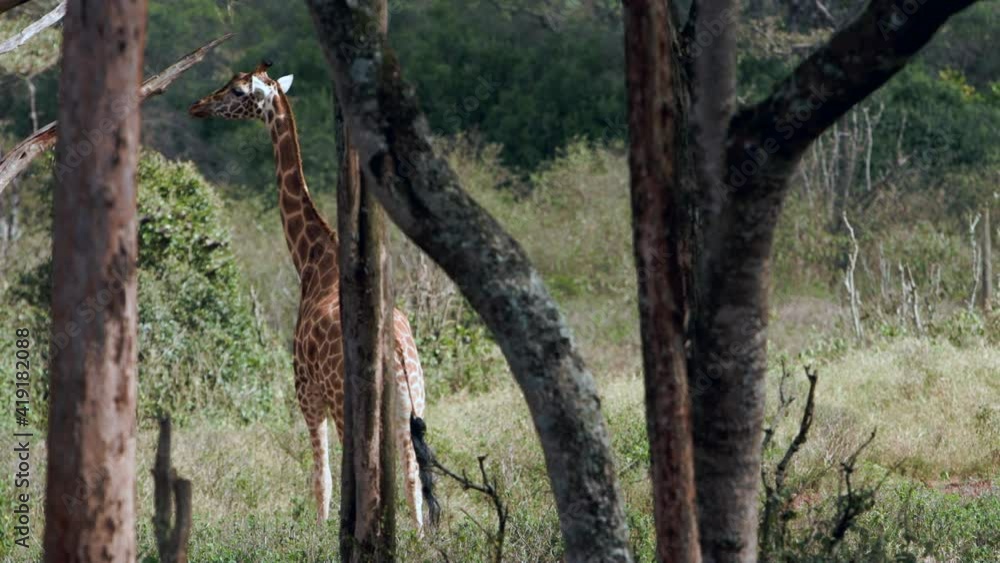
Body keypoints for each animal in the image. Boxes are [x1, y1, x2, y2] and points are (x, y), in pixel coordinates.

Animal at [188, 60, 438, 532]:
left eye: (236, 91)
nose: (197, 106)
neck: (311, 257)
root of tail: (396, 348)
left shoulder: (306, 391)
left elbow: (321, 476)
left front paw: (318, 532)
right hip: (413, 396)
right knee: (413, 469)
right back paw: (418, 536)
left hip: (347, 402)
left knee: (367, 474)